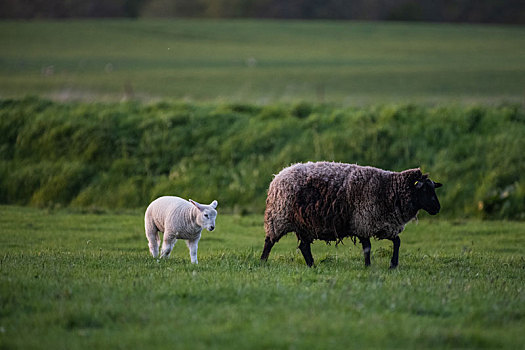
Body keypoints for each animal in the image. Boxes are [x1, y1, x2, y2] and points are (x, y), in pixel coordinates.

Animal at [260, 162, 440, 268]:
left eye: (433, 188)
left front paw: (393, 265)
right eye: (425, 189)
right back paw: (263, 261)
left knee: (304, 247)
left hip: (303, 224)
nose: (437, 208)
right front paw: (368, 267)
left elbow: (397, 242)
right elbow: (367, 247)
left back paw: (312, 265)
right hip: (279, 218)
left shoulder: (384, 225)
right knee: (269, 242)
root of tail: (278, 176)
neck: (389, 189)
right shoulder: (363, 222)